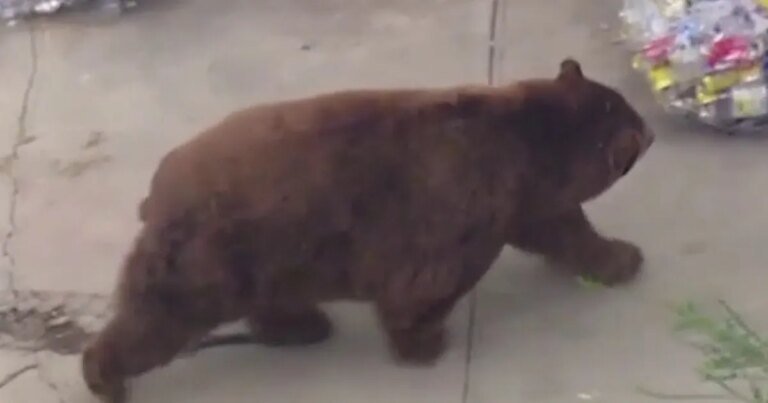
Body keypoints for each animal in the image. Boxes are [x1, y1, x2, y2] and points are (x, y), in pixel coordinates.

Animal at [82, 58, 654, 402]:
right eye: (636, 122)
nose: (649, 132)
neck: (531, 147)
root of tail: (156, 191)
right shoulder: (464, 208)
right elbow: (425, 285)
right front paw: (424, 342)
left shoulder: (524, 201)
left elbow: (565, 229)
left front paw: (621, 257)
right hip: (212, 254)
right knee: (157, 320)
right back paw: (105, 377)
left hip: (273, 256)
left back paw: (302, 326)